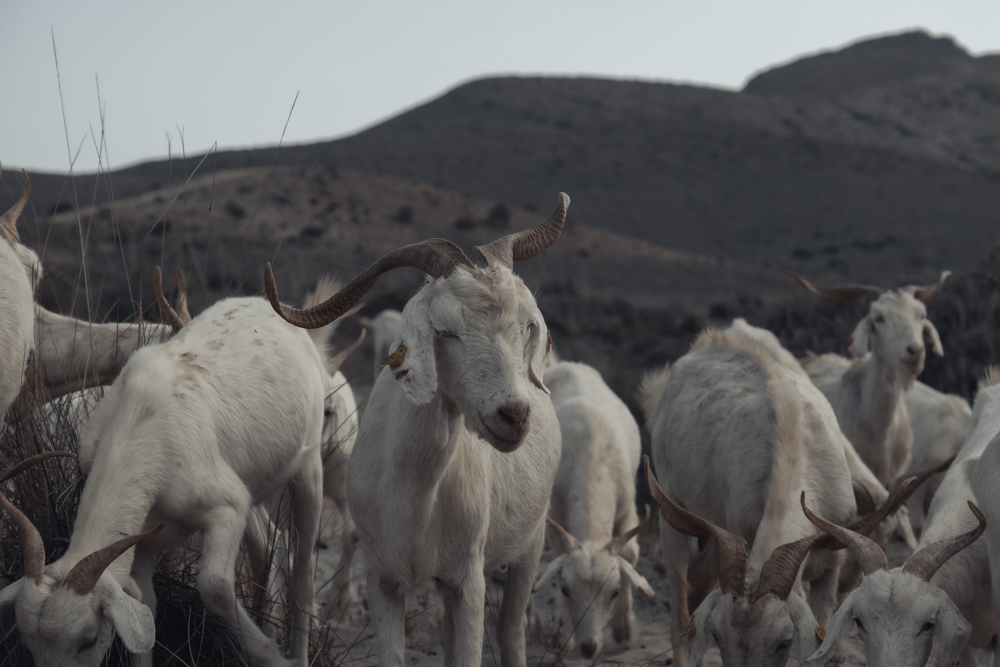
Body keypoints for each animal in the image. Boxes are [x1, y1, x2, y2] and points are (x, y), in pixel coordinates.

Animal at [0, 290, 328, 664]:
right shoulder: (143, 537)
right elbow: (146, 605)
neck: (140, 422)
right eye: (29, 642)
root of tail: (264, 303)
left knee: (303, 576)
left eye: (88, 640)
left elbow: (215, 587)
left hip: (310, 463)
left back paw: (299, 651)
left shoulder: (226, 508)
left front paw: (273, 656)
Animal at [266, 193, 572, 667]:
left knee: (510, 629)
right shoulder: (384, 580)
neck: (414, 491)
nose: (515, 415)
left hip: (531, 541)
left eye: (526, 327)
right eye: (446, 331)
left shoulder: (469, 582)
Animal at [536, 360, 652, 656]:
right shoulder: (556, 515)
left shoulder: (627, 506)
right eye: (565, 589)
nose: (589, 647)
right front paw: (566, 635)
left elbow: (630, 554)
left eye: (614, 592)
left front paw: (624, 629)